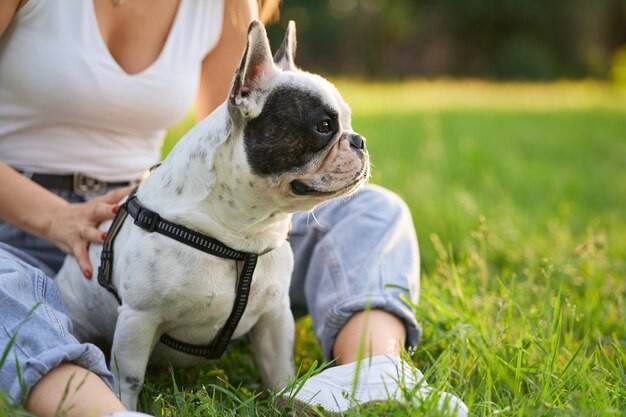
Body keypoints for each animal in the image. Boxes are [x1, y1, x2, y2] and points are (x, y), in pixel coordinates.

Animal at [56, 21, 368, 408]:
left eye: (346, 123)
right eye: (324, 126)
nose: (359, 140)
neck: (243, 234)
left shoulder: (274, 317)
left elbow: (279, 373)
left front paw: (285, 404)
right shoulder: (138, 320)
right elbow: (128, 382)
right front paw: (125, 406)